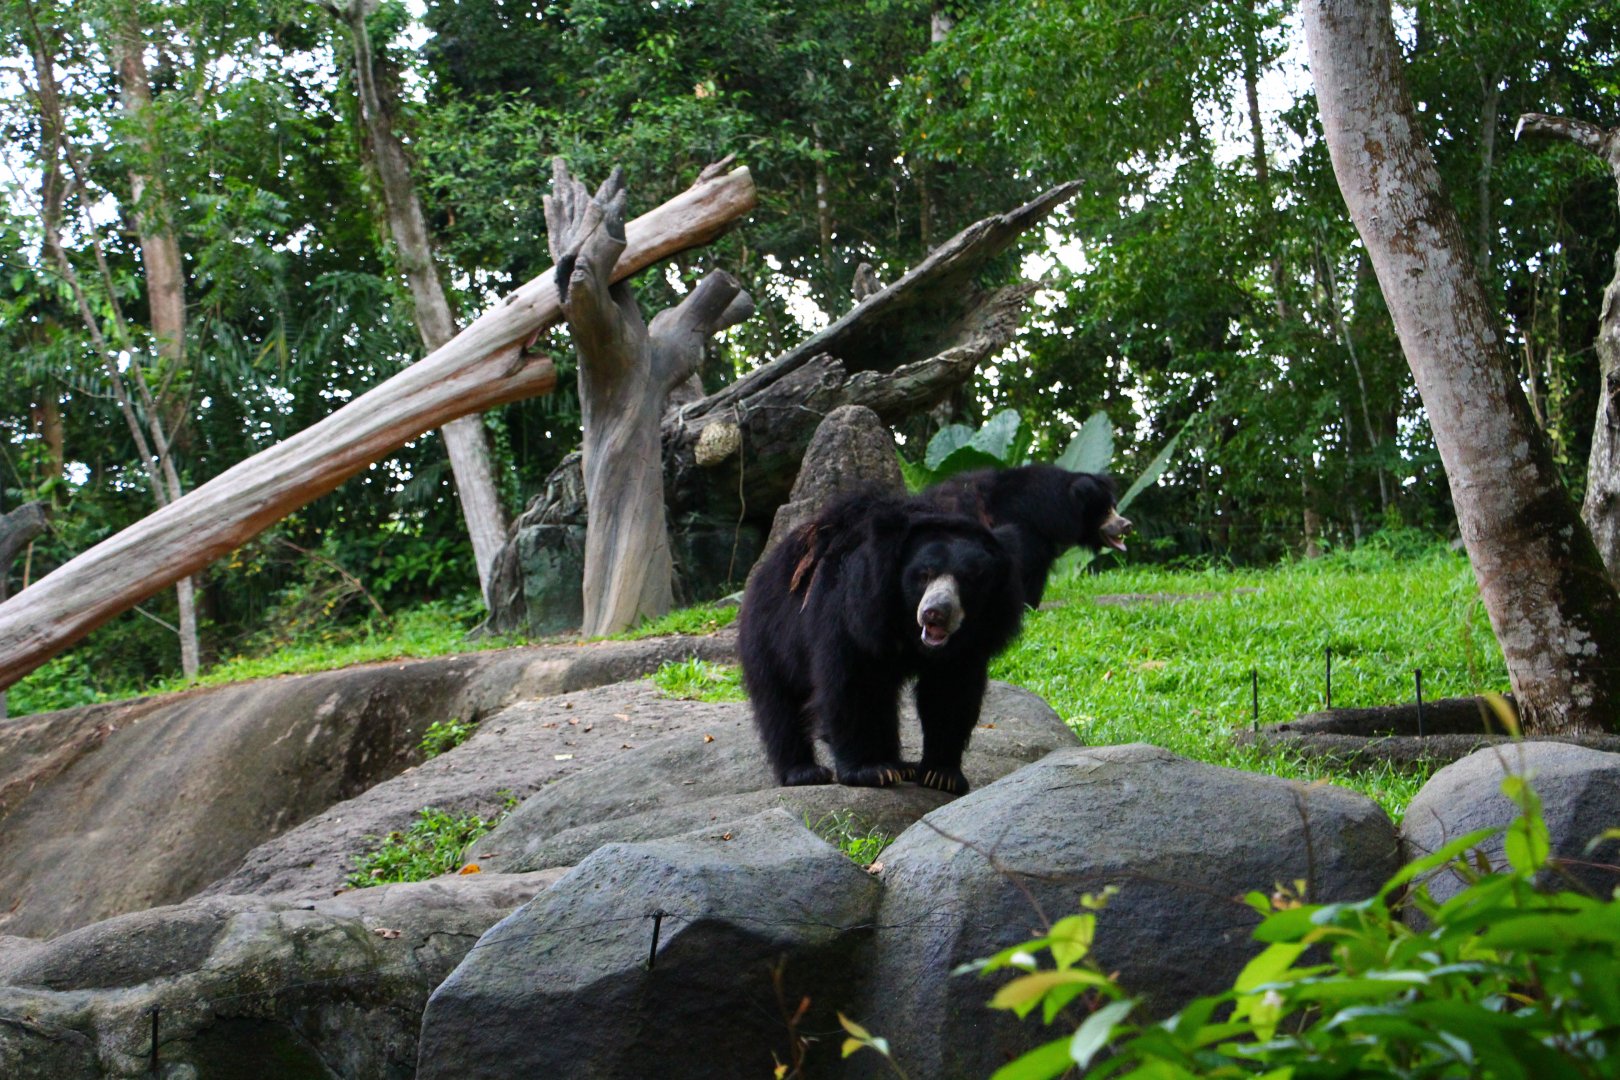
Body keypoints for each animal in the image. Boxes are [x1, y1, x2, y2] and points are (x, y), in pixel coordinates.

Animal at [737, 490, 1026, 796]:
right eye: (923, 575)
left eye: (969, 580)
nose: (935, 612)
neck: (906, 627)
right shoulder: (851, 611)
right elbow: (850, 685)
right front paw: (868, 771)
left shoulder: (971, 643)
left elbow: (950, 693)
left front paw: (941, 775)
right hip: (770, 636)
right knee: (780, 703)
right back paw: (805, 772)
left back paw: (899, 765)